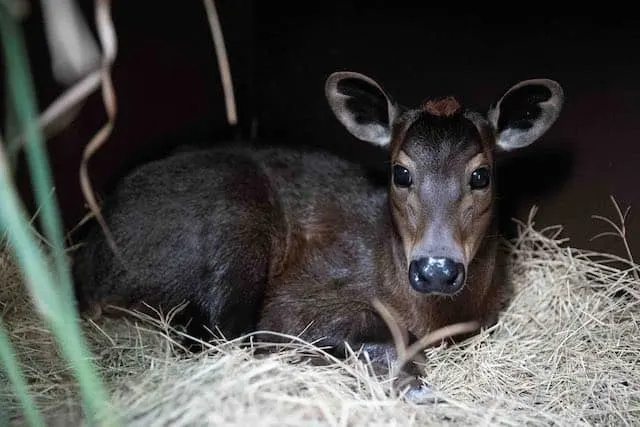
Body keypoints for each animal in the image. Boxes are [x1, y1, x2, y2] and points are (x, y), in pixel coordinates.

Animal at [75, 71, 564, 402]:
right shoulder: (296, 302)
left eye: (481, 175)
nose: (437, 269)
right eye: (400, 172)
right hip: (234, 216)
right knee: (219, 338)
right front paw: (400, 374)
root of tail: (92, 260)